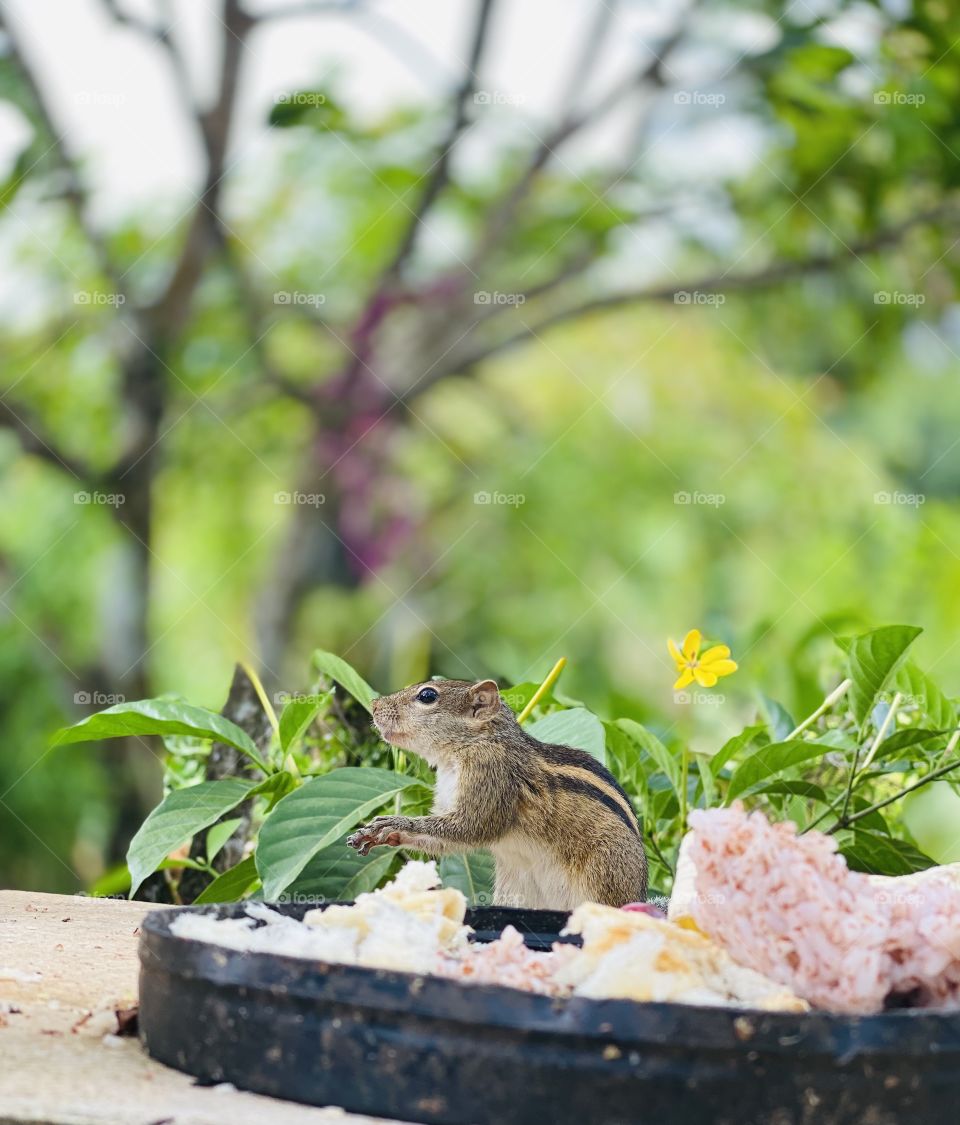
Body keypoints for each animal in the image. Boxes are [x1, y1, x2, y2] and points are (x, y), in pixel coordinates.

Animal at [346, 678, 647, 910]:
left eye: (427, 695)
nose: (375, 705)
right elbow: (444, 840)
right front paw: (384, 835)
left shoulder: (491, 776)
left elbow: (471, 827)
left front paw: (393, 822)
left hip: (603, 874)